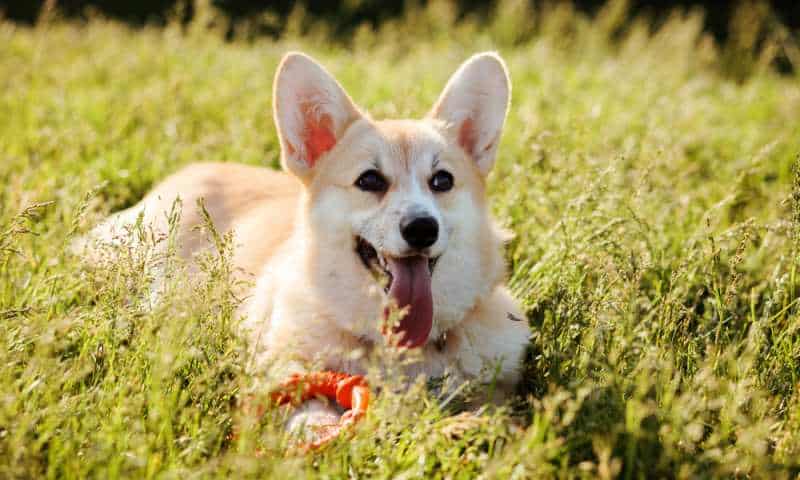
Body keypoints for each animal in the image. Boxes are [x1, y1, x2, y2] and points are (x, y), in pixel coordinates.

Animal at [84, 51, 532, 432]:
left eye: (442, 181)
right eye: (370, 180)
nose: (422, 228)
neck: (392, 346)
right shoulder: (280, 362)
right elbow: (307, 402)